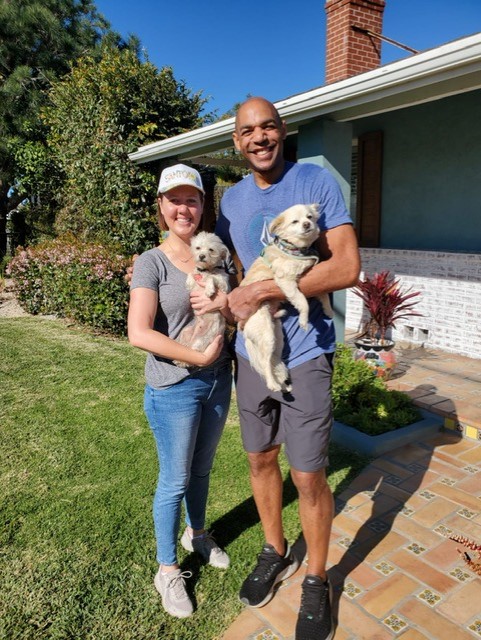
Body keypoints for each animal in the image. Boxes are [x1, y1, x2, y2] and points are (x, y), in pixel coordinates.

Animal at [173, 232, 230, 368]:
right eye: (198, 248)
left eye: (211, 249)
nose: (202, 256)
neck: (206, 270)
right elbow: (191, 273)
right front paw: (189, 281)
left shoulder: (224, 285)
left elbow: (212, 278)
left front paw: (209, 290)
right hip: (185, 332)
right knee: (185, 349)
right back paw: (180, 360)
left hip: (200, 342)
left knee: (193, 356)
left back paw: (183, 362)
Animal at [242, 206, 332, 396]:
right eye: (295, 222)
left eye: (309, 217)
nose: (307, 224)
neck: (295, 249)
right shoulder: (286, 280)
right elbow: (302, 302)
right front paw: (304, 320)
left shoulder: (314, 277)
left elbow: (324, 293)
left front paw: (328, 310)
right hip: (267, 335)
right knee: (265, 363)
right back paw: (273, 385)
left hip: (278, 339)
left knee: (272, 361)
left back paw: (283, 385)